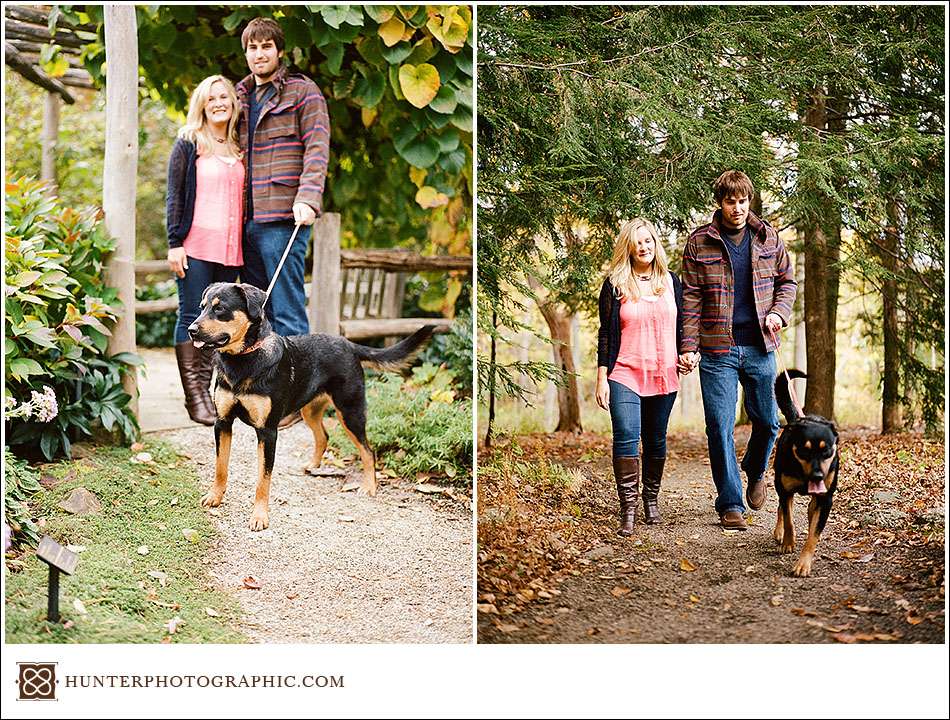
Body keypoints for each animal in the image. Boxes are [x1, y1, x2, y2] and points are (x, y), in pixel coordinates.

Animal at [190, 282, 436, 528]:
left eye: (220, 309)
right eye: (201, 307)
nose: (191, 330)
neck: (243, 358)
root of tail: (348, 344)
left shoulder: (268, 432)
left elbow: (263, 479)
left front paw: (259, 516)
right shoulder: (222, 423)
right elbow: (220, 466)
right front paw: (215, 497)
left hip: (350, 411)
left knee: (368, 450)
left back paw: (369, 486)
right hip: (310, 409)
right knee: (323, 436)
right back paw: (313, 465)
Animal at [772, 372, 840, 580]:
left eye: (826, 450)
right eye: (804, 451)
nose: (818, 476)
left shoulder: (826, 499)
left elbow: (813, 535)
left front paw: (803, 564)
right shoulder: (785, 490)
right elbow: (789, 519)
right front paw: (788, 542)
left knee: (810, 510)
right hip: (780, 484)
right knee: (781, 509)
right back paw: (779, 533)